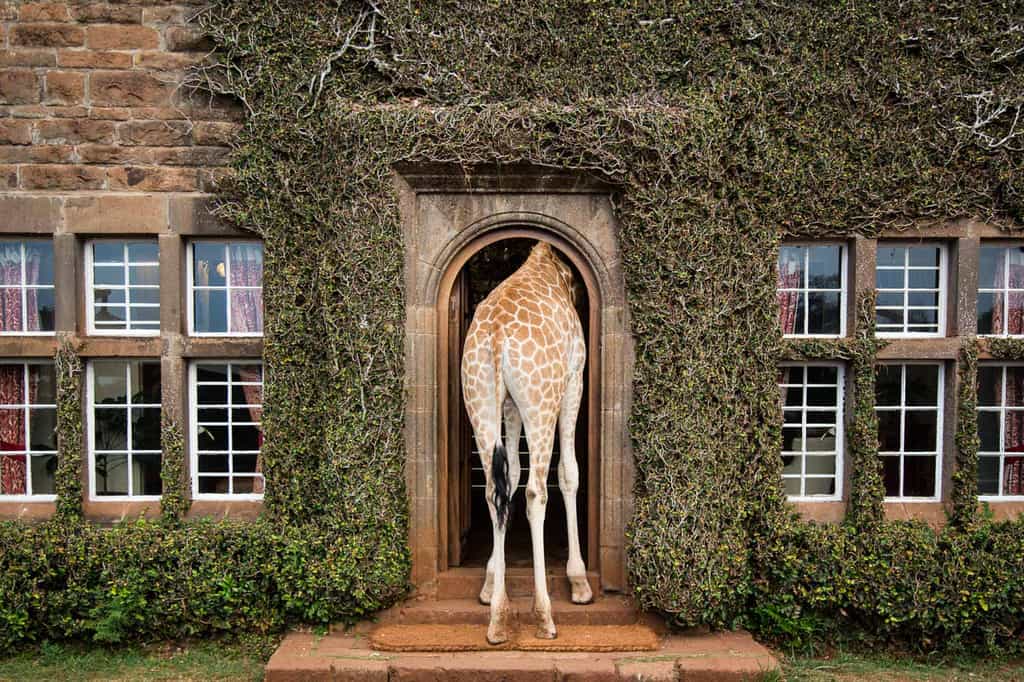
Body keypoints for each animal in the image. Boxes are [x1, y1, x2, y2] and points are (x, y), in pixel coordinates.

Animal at [460, 240, 593, 645]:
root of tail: (497, 335)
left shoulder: (509, 404)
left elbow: (512, 475)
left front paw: (490, 580)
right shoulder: (575, 380)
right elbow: (568, 474)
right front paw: (579, 581)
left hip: (479, 397)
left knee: (494, 490)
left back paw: (498, 618)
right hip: (543, 400)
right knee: (537, 490)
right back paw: (544, 614)